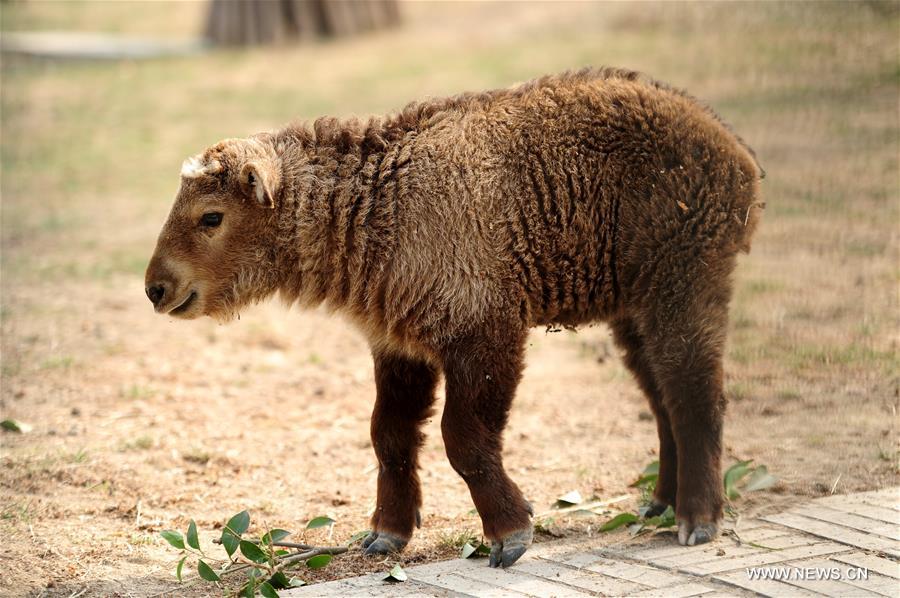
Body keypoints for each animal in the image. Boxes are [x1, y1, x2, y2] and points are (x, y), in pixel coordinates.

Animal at [144, 68, 764, 568]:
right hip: (633, 309)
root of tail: (737, 153)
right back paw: (660, 503)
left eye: (211, 216)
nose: (155, 288)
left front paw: (510, 535)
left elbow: (462, 438)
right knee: (661, 400)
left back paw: (698, 519)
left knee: (695, 395)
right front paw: (386, 535)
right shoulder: (399, 345)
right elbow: (389, 435)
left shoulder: (487, 334)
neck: (382, 205)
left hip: (683, 285)